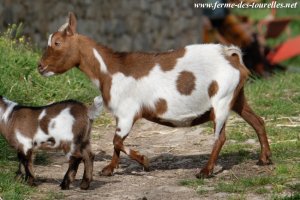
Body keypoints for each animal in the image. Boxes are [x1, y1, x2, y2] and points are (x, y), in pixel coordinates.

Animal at [37, 12, 272, 178]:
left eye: (57, 43)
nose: (40, 66)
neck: (109, 70)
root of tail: (231, 56)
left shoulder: (127, 112)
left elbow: (117, 141)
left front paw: (144, 161)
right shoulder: (119, 115)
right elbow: (115, 143)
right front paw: (110, 169)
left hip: (222, 99)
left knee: (220, 136)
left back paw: (206, 171)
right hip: (237, 96)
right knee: (258, 121)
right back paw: (265, 159)